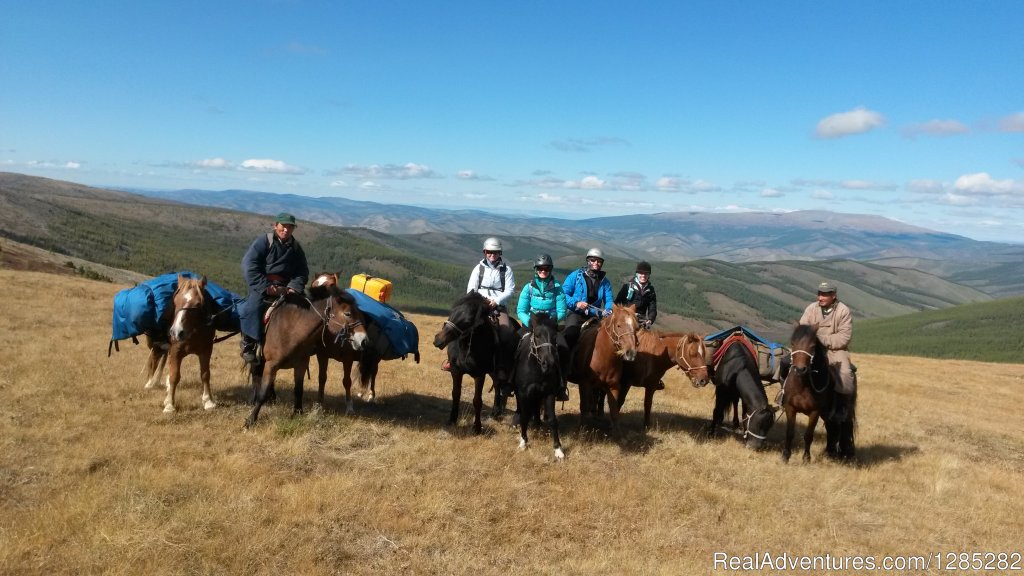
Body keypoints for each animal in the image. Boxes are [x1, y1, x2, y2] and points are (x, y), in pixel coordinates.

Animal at [141, 274, 217, 412]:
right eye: (175, 301)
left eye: (198, 304)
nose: (176, 332)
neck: (194, 330)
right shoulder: (176, 351)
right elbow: (174, 376)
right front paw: (170, 405)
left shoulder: (206, 350)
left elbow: (205, 374)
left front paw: (208, 401)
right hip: (156, 346)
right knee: (153, 362)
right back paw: (150, 383)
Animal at [243, 282, 368, 426]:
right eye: (348, 313)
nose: (364, 340)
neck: (292, 330)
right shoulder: (271, 365)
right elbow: (262, 393)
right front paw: (251, 419)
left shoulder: (301, 365)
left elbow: (298, 390)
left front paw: (298, 413)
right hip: (258, 361)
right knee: (256, 378)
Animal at [512, 311, 569, 459]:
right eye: (537, 335)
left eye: (554, 336)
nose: (549, 363)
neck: (536, 369)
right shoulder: (523, 394)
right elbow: (524, 417)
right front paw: (523, 442)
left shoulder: (549, 393)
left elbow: (553, 420)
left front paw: (558, 450)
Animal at [569, 303, 638, 432]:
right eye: (619, 325)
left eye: (637, 327)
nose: (631, 353)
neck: (602, 355)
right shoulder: (584, 383)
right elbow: (584, 406)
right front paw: (582, 429)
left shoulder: (613, 386)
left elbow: (614, 411)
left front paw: (617, 433)